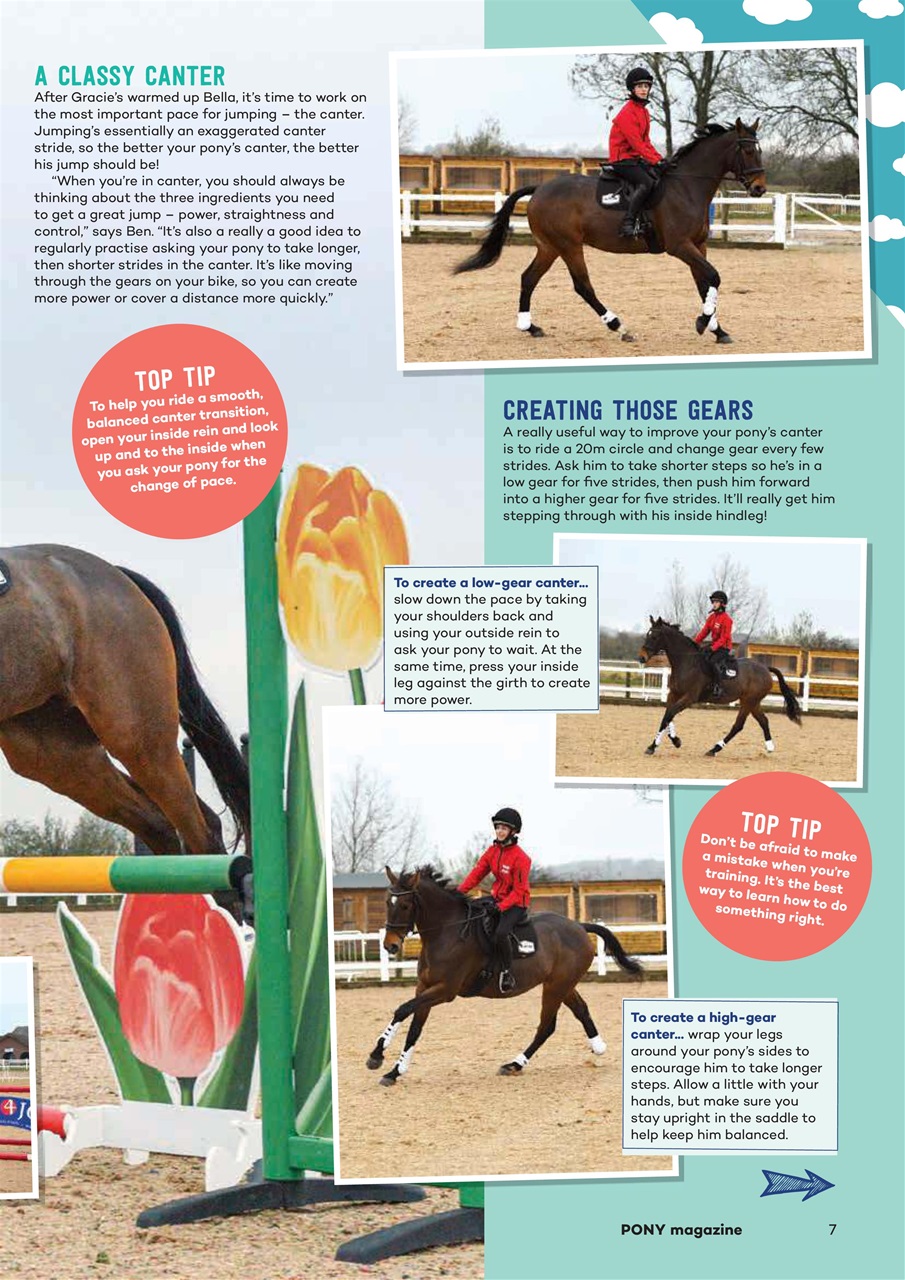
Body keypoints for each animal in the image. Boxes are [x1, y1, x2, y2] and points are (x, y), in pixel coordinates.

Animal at [365, 865, 642, 1085]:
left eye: (405, 905)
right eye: (387, 903)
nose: (390, 945)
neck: (447, 932)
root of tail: (578, 926)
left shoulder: (445, 991)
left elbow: (402, 1009)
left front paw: (377, 1055)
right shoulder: (424, 988)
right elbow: (413, 1028)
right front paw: (394, 1071)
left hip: (556, 987)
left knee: (547, 1026)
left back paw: (515, 1064)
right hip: (561, 984)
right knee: (580, 1010)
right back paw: (598, 1047)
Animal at [454, 120, 765, 346]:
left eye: (759, 150)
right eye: (748, 151)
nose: (760, 188)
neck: (686, 186)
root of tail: (540, 188)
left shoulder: (698, 246)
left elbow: (704, 284)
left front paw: (717, 329)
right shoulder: (680, 246)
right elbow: (714, 276)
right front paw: (704, 323)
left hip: (549, 247)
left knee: (529, 278)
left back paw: (529, 326)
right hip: (568, 245)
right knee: (582, 286)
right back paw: (619, 326)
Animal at [638, 617, 802, 758]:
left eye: (654, 636)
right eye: (648, 635)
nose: (641, 657)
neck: (687, 663)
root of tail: (765, 668)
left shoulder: (689, 697)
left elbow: (670, 714)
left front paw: (666, 743)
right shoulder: (673, 694)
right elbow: (667, 716)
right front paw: (662, 743)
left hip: (749, 701)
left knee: (738, 725)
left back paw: (714, 749)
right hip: (752, 702)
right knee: (763, 721)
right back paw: (769, 746)